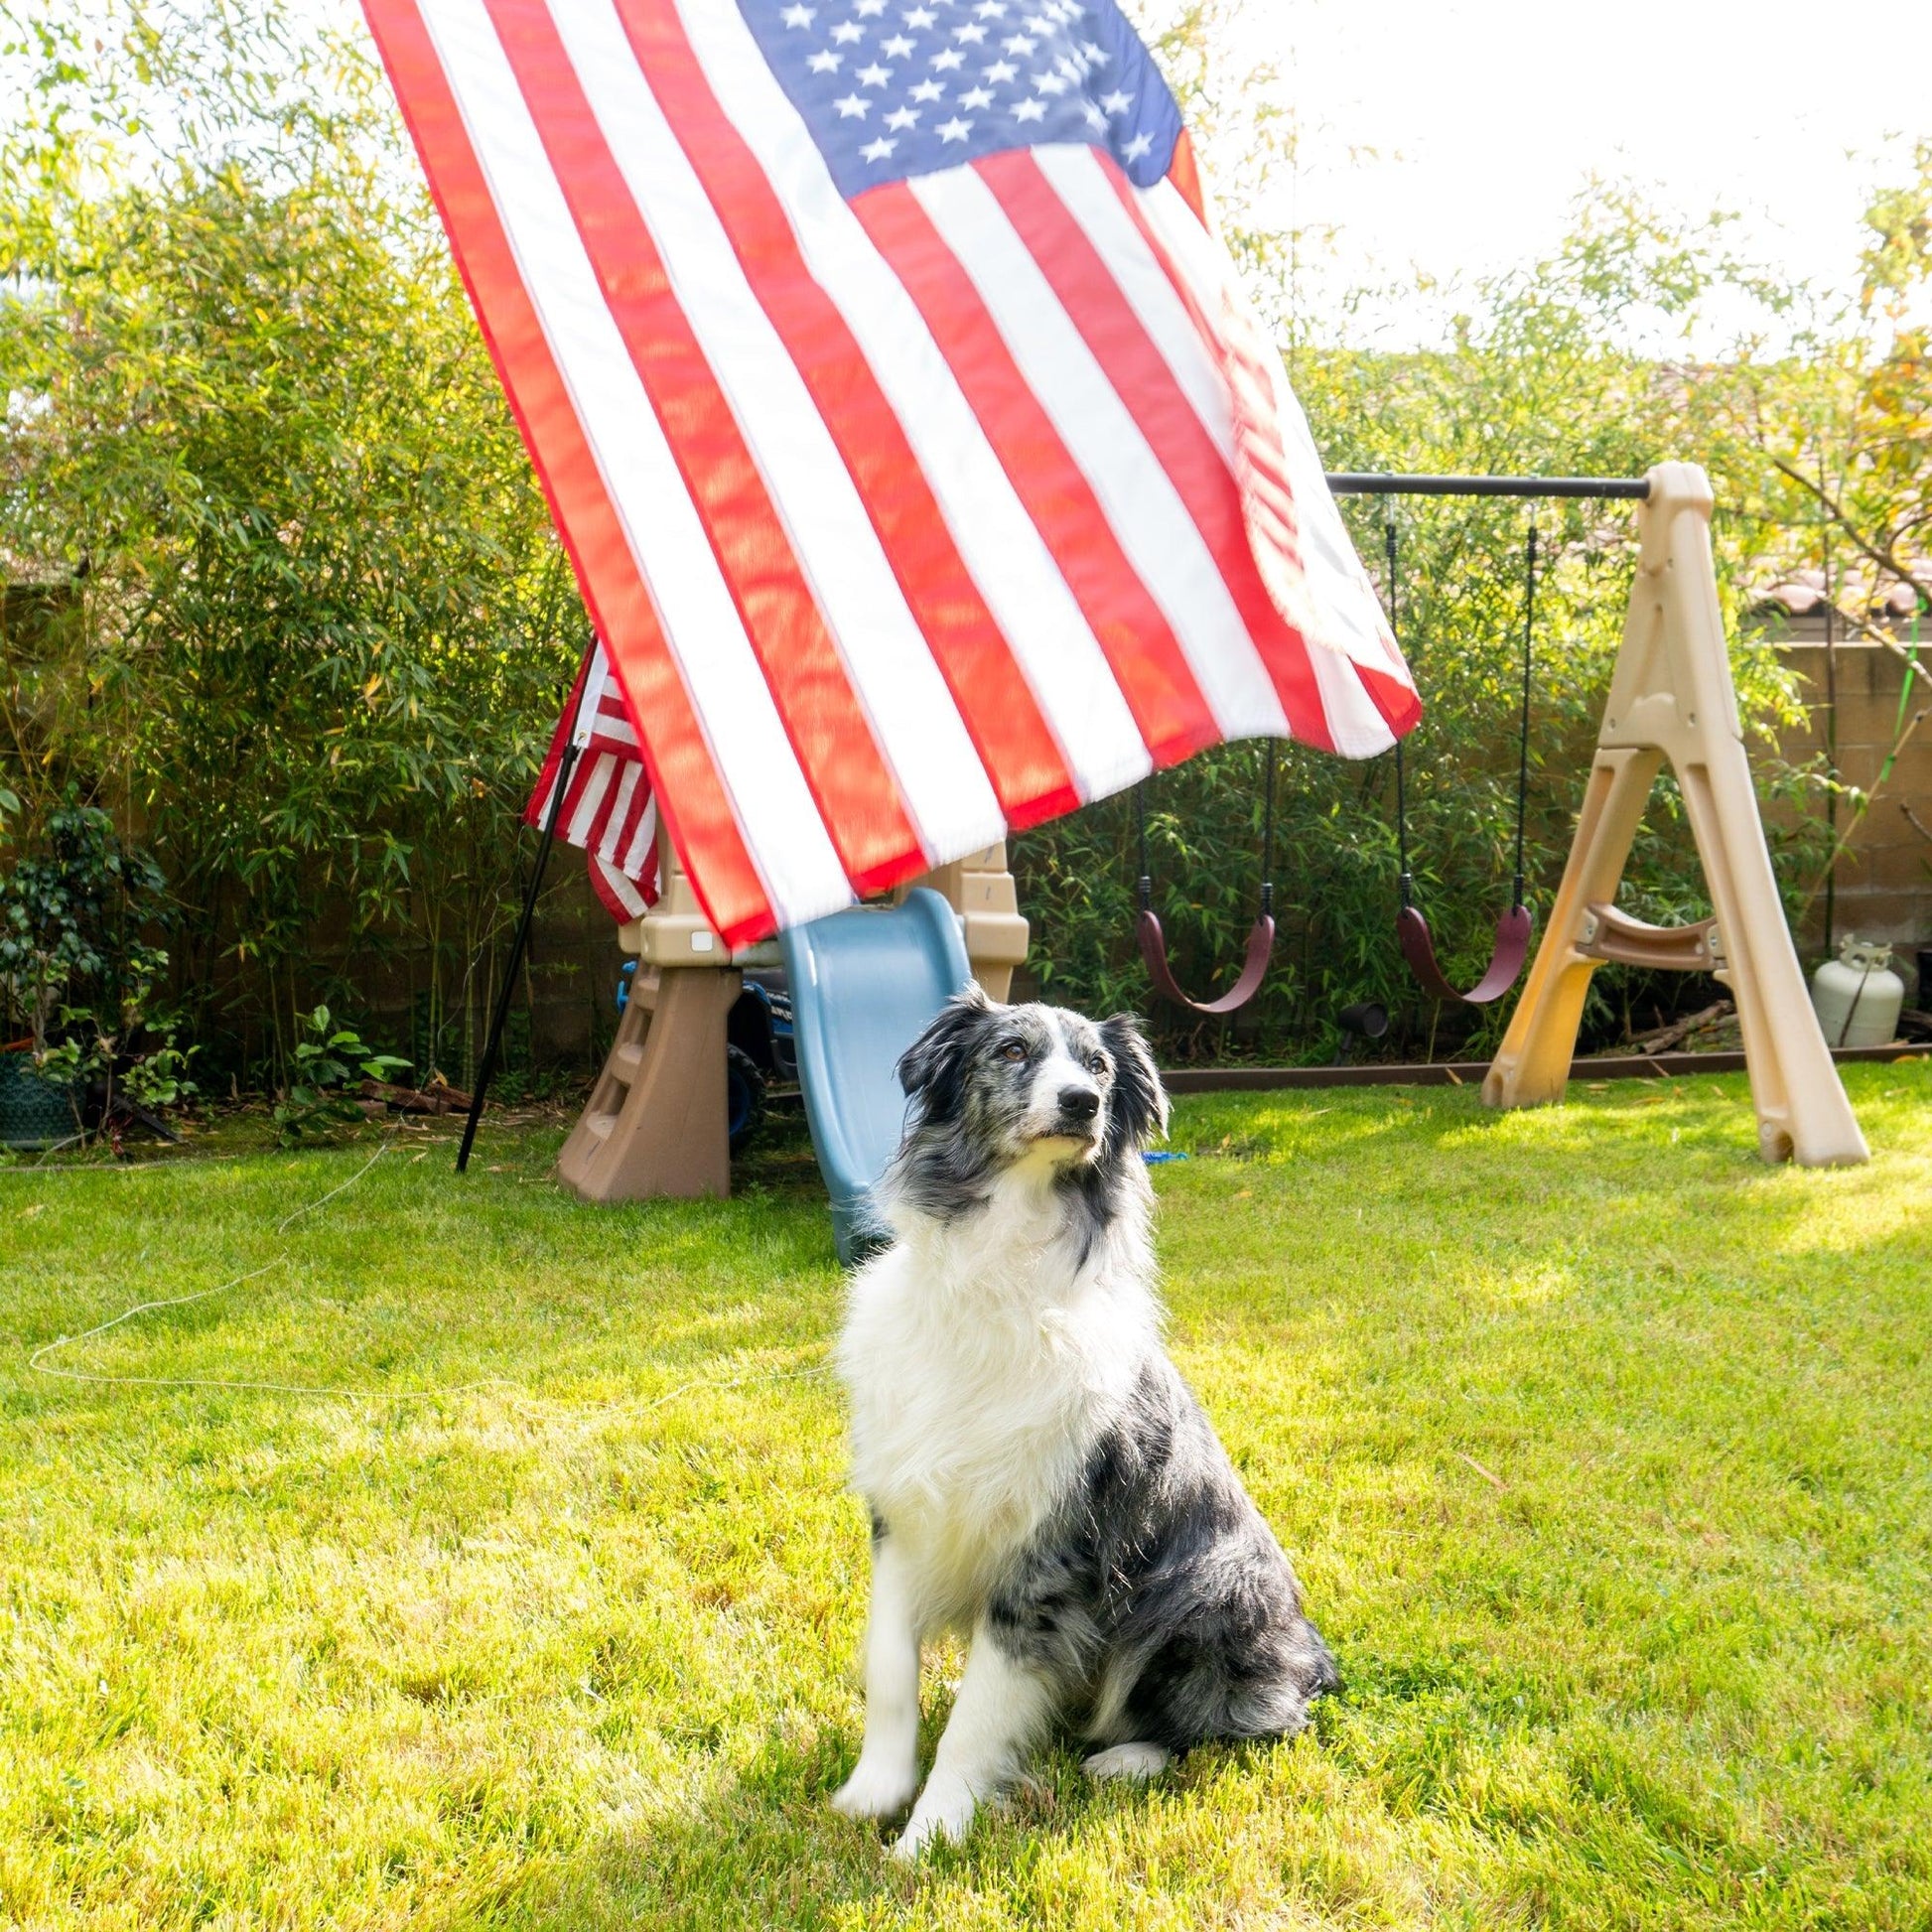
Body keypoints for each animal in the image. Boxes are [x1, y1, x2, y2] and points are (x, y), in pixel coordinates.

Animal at [830, 997, 1344, 1855]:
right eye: (1011, 1050)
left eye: (1099, 1068)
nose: (1081, 1103)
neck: (998, 1274)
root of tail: (1309, 1657)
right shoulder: (904, 1514)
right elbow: (890, 1669)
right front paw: (875, 1792)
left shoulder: (1047, 1555)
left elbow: (975, 1722)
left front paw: (929, 1837)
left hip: (1207, 1585)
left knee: (1256, 1723)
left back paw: (1127, 1759)